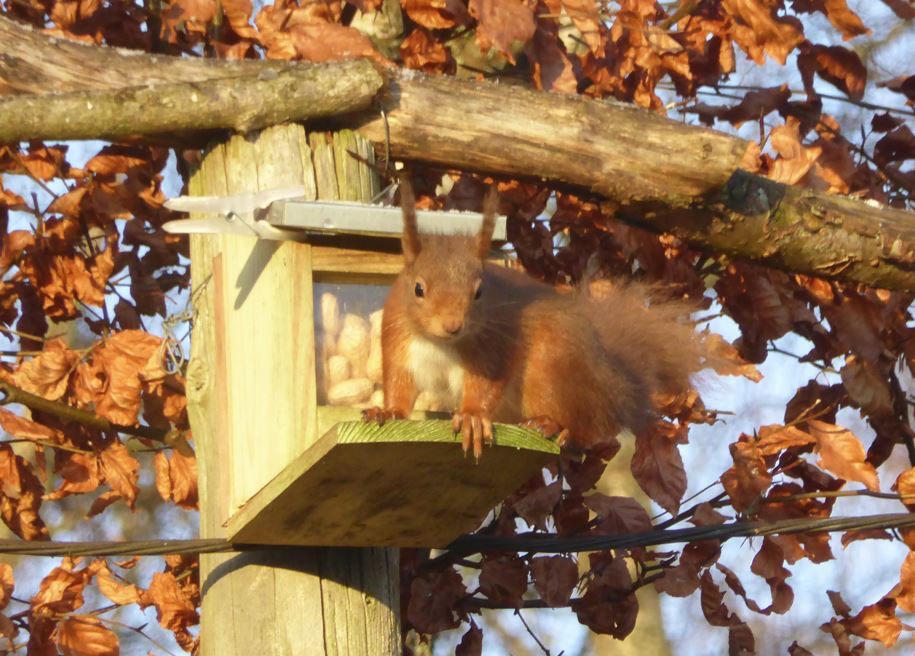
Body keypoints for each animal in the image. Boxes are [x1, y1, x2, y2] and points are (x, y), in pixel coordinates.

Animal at [364, 177, 705, 458]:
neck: (441, 344)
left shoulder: (494, 346)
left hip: (551, 368)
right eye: (418, 289)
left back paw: (553, 425)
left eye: (479, 291)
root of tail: (617, 388)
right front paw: (388, 412)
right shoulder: (400, 342)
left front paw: (472, 416)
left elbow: (486, 385)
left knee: (587, 429)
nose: (452, 325)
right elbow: (400, 385)